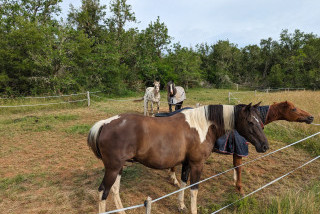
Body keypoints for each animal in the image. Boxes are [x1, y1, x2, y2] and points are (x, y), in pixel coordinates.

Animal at [87, 103, 268, 213]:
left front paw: (181, 205)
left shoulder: (187, 163)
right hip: (113, 168)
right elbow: (194, 188)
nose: (265, 146)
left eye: (260, 121)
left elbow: (183, 183)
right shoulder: (197, 164)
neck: (203, 126)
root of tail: (105, 123)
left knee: (114, 191)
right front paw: (193, 209)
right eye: (250, 122)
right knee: (103, 192)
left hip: (118, 168)